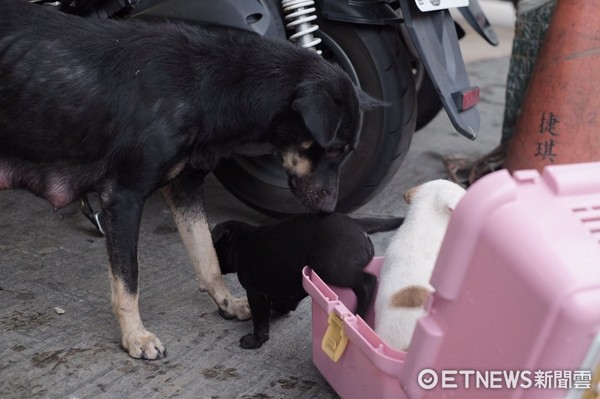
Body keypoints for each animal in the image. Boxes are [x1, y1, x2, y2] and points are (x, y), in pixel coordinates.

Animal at [0, 0, 382, 360]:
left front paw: (227, 303)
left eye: (346, 150)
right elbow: (129, 279)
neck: (208, 86)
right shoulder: (123, 198)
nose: (329, 211)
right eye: (331, 149)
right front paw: (135, 336)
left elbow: (207, 257)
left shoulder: (184, 188)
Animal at [211, 214, 404, 348]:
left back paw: (359, 313)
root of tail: (357, 224)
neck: (240, 242)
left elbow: (260, 319)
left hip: (330, 267)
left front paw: (255, 340)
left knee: (367, 282)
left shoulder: (255, 293)